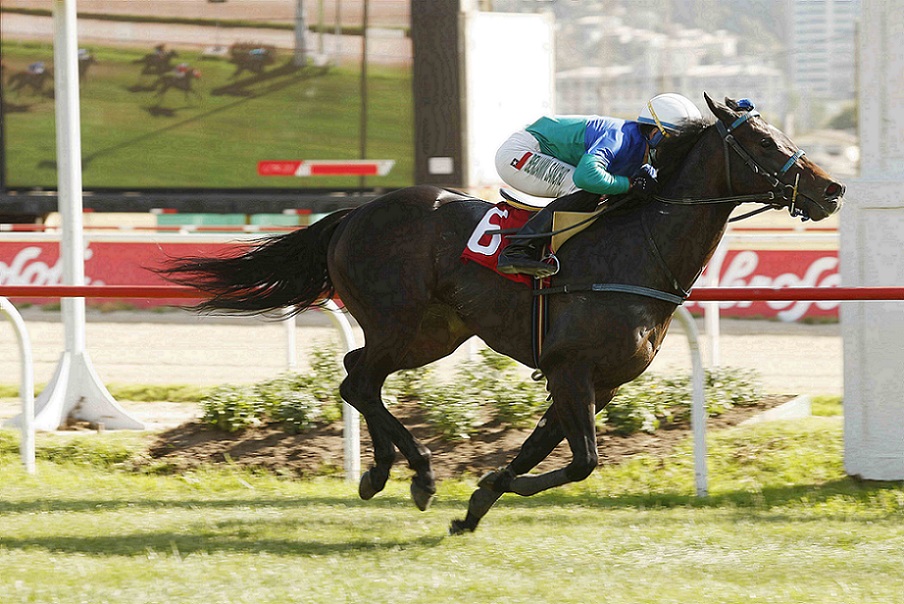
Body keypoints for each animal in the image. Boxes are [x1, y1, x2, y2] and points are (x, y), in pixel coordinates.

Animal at [161, 94, 844, 534]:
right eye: (762, 141)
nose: (831, 188)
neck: (641, 247)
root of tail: (356, 213)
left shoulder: (598, 382)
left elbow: (547, 452)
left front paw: (477, 505)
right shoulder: (570, 368)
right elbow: (582, 462)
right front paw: (483, 489)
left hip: (434, 333)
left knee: (359, 374)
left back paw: (381, 474)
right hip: (400, 322)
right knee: (359, 380)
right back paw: (418, 474)